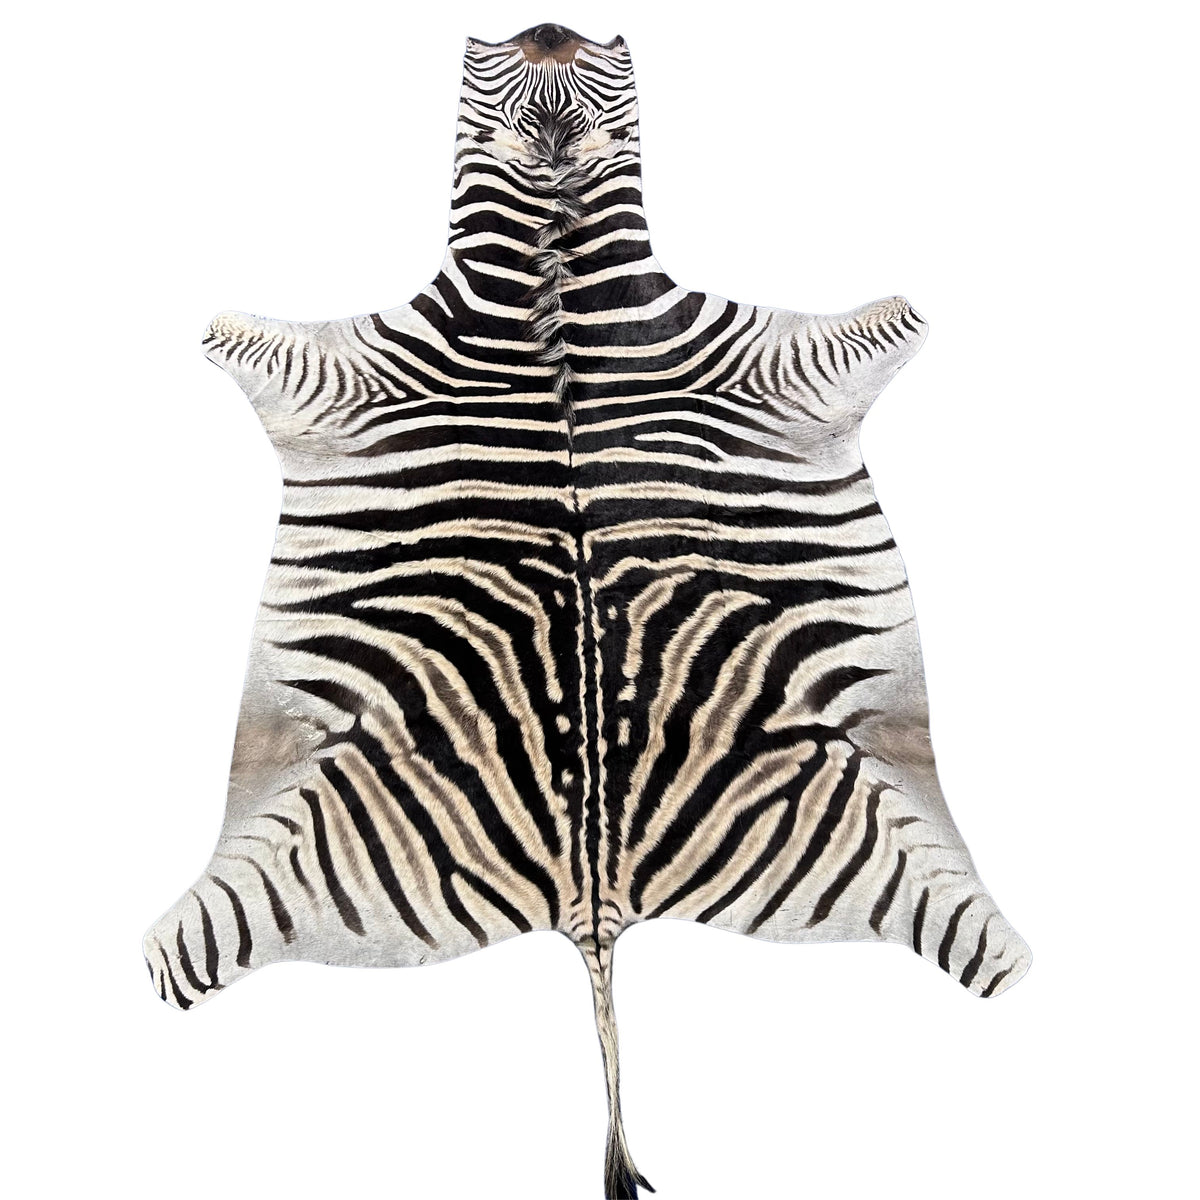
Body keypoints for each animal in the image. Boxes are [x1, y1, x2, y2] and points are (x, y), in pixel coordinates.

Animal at [144, 23, 1031, 1199]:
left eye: (599, 61)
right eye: (498, 68)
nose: (549, 27)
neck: (557, 266)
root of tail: (593, 899)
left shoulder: (774, 362)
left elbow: (884, 322)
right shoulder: (344, 373)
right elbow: (243, 336)